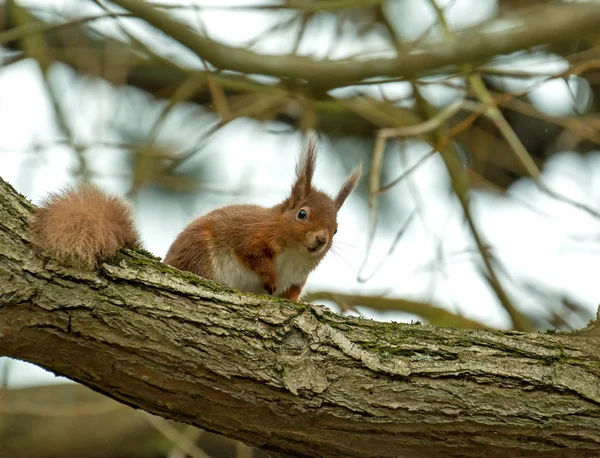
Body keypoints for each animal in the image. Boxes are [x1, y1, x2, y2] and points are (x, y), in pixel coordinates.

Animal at [29, 135, 360, 300]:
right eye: (302, 214)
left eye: (336, 229)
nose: (321, 240)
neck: (294, 255)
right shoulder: (250, 234)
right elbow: (252, 255)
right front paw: (269, 278)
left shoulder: (298, 279)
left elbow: (291, 295)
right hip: (201, 255)